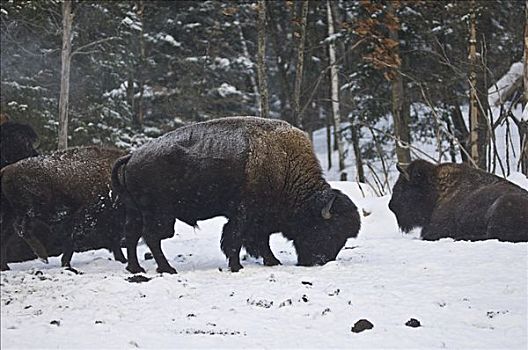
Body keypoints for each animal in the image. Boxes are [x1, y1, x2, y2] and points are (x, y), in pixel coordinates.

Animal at [0, 146, 128, 270]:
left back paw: (5, 267)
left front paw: (122, 259)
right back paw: (43, 257)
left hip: (12, 214)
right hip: (30, 210)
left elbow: (114, 239)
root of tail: (6, 170)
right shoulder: (85, 217)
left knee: (6, 235)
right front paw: (66, 263)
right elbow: (72, 238)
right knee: (21, 228)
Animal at [110, 116, 358, 272]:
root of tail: (132, 157)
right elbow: (236, 238)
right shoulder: (245, 214)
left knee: (132, 236)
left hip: (136, 212)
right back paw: (167, 269)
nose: (321, 261)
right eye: (329, 229)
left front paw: (272, 261)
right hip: (161, 215)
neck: (285, 166)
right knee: (151, 237)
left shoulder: (256, 220)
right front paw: (237, 266)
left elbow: (257, 241)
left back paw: (136, 268)